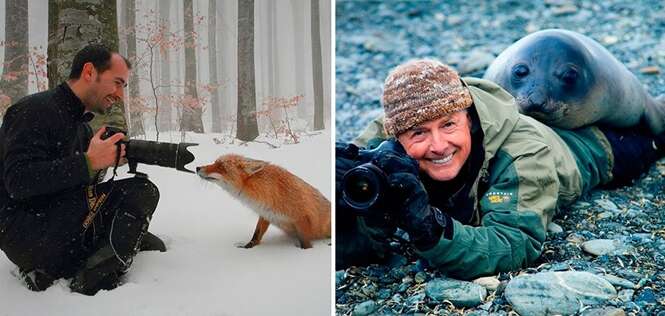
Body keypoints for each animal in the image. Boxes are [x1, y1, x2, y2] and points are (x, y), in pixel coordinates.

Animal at [197, 154, 332, 248]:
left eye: (221, 167)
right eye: (215, 162)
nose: (197, 167)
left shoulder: (302, 218)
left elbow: (305, 243)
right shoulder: (265, 214)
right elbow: (256, 235)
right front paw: (247, 248)